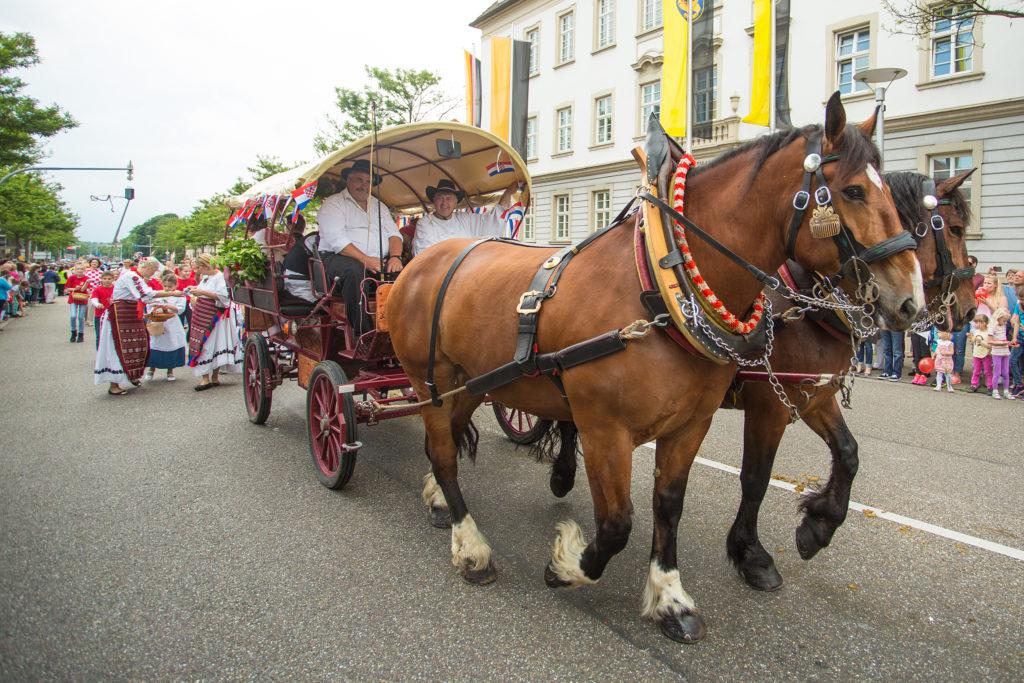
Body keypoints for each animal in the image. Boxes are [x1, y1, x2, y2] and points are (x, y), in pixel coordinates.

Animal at [387, 93, 925, 643]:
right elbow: (617, 523)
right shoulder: (608, 428)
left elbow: (670, 504)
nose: (910, 301)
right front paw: (567, 563)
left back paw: (440, 502)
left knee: (447, 441)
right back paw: (471, 545)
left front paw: (670, 596)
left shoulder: (701, 421)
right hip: (428, 380)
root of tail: (423, 261)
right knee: (445, 452)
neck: (658, 288)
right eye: (854, 191)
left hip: (470, 382)